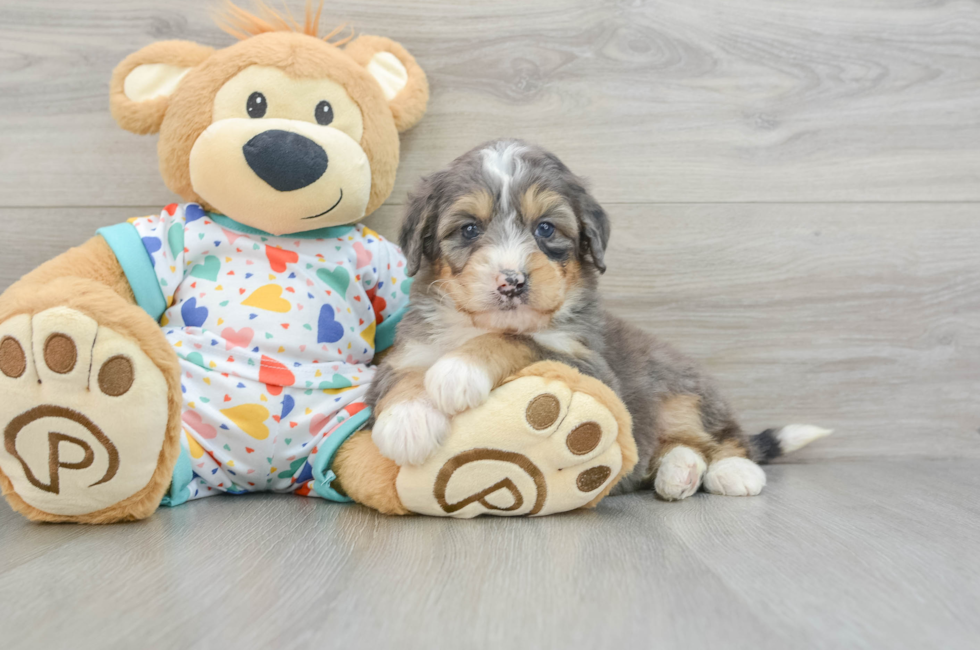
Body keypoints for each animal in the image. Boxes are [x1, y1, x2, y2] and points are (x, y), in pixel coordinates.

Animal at [368, 139, 828, 498]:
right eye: (468, 229)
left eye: (546, 229)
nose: (512, 282)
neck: (477, 323)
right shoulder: (405, 352)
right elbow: (405, 377)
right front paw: (406, 422)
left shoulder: (591, 367)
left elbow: (519, 339)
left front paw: (458, 370)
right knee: (674, 445)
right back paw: (678, 471)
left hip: (680, 390)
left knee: (723, 436)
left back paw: (732, 470)